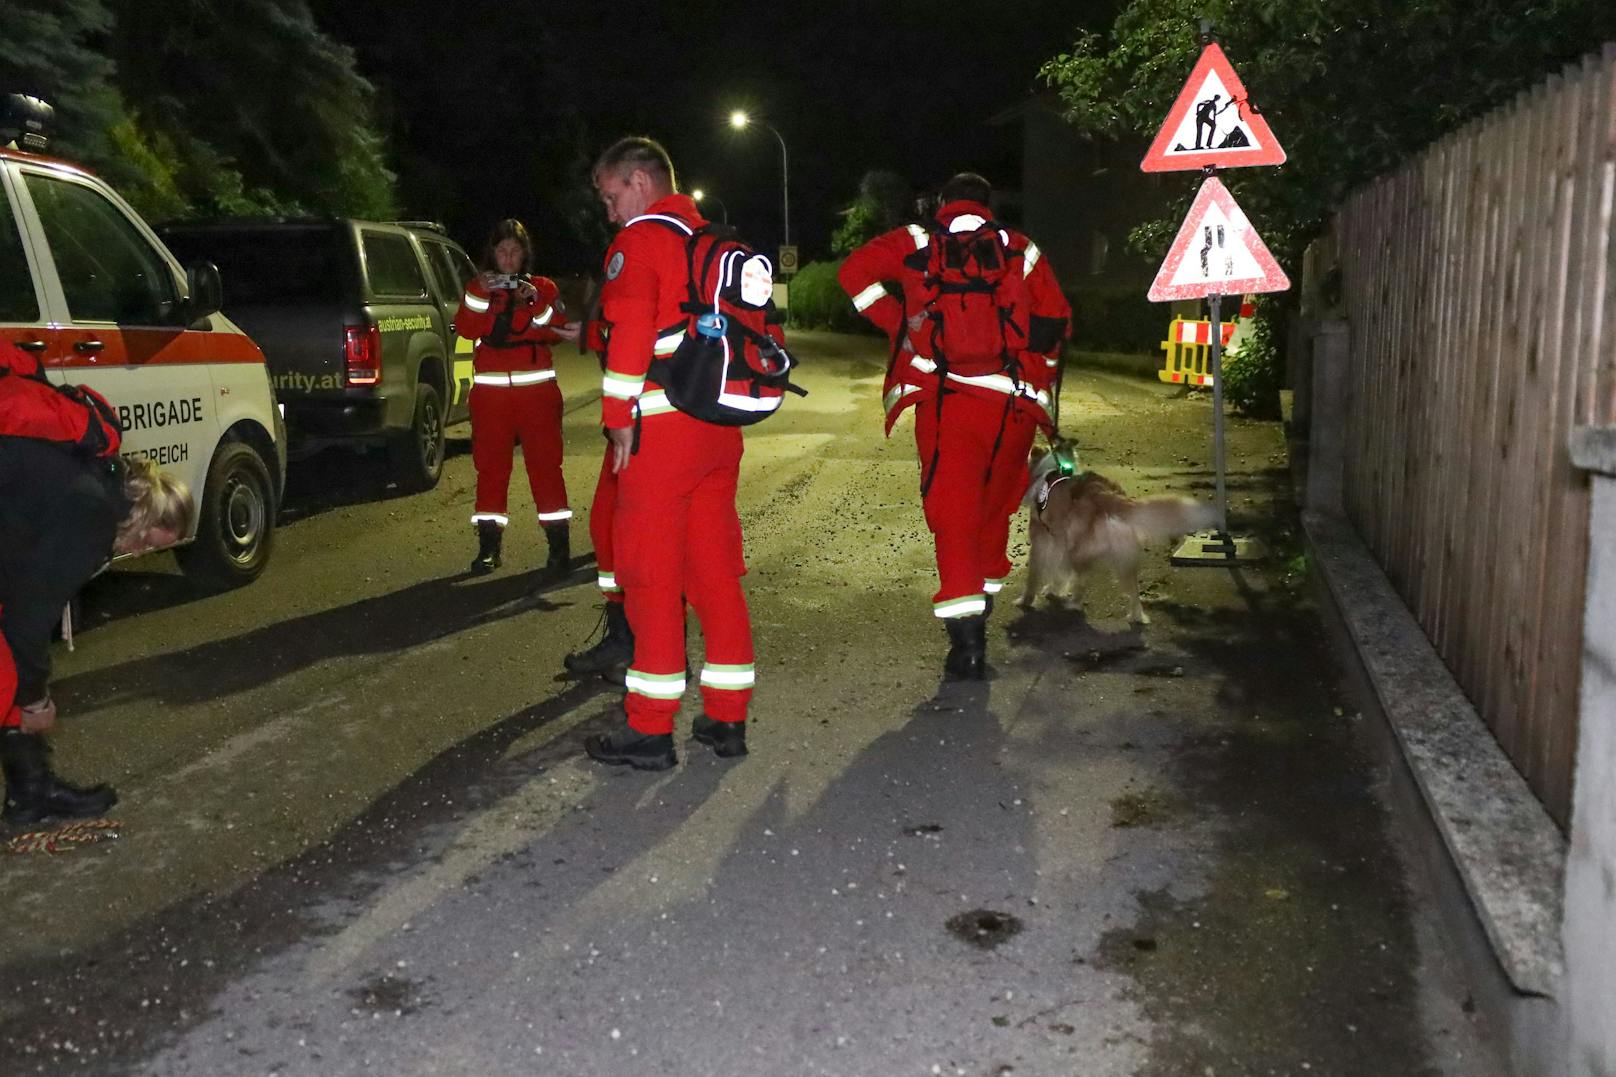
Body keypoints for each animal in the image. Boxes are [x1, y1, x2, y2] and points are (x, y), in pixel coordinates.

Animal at [1021, 449, 1215, 624]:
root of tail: (1109, 496)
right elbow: (1059, 572)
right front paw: (1053, 589)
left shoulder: (1042, 539)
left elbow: (1036, 575)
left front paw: (1026, 600)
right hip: (1122, 559)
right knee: (1133, 590)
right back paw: (1137, 617)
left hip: (1079, 550)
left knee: (1083, 579)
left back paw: (1073, 604)